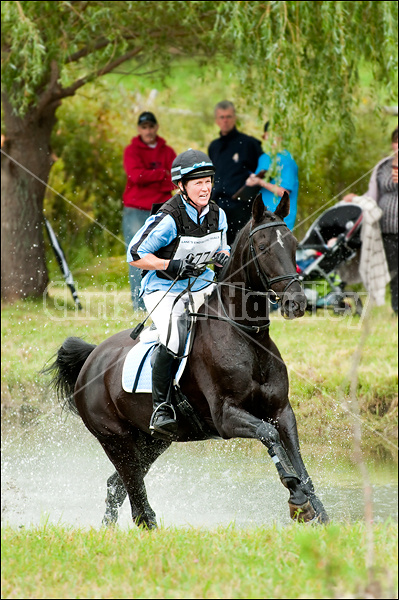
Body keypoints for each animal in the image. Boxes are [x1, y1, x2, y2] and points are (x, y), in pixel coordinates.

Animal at [45, 195, 330, 528]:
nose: (296, 303)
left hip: (153, 440)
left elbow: (297, 459)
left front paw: (319, 512)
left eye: (294, 244)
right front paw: (297, 500)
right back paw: (148, 526)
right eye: (262, 247)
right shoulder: (227, 417)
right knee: (133, 491)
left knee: (117, 485)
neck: (247, 338)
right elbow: (269, 436)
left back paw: (109, 528)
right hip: (116, 439)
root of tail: (92, 358)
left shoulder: (281, 411)